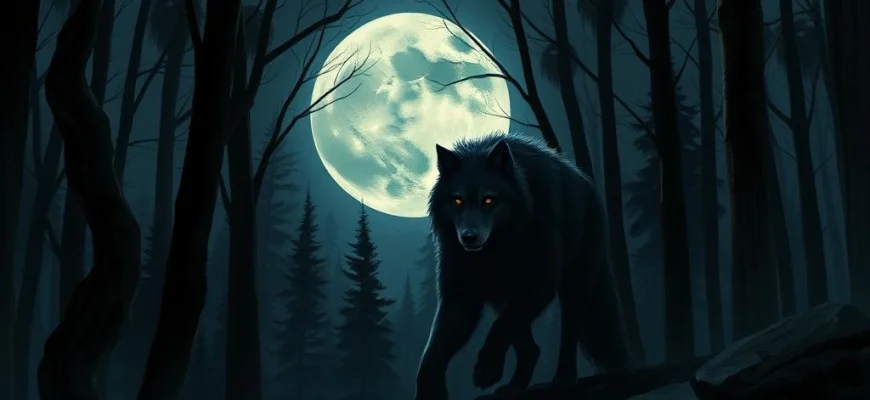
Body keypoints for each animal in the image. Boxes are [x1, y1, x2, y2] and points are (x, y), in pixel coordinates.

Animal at [415, 133, 634, 399]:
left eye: (488, 200)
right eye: (457, 200)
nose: (469, 238)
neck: (497, 248)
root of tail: (589, 186)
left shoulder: (540, 284)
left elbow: (501, 326)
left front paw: (486, 369)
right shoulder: (460, 296)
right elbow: (432, 355)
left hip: (575, 287)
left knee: (567, 334)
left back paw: (564, 379)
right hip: (503, 295)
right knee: (531, 348)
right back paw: (515, 387)